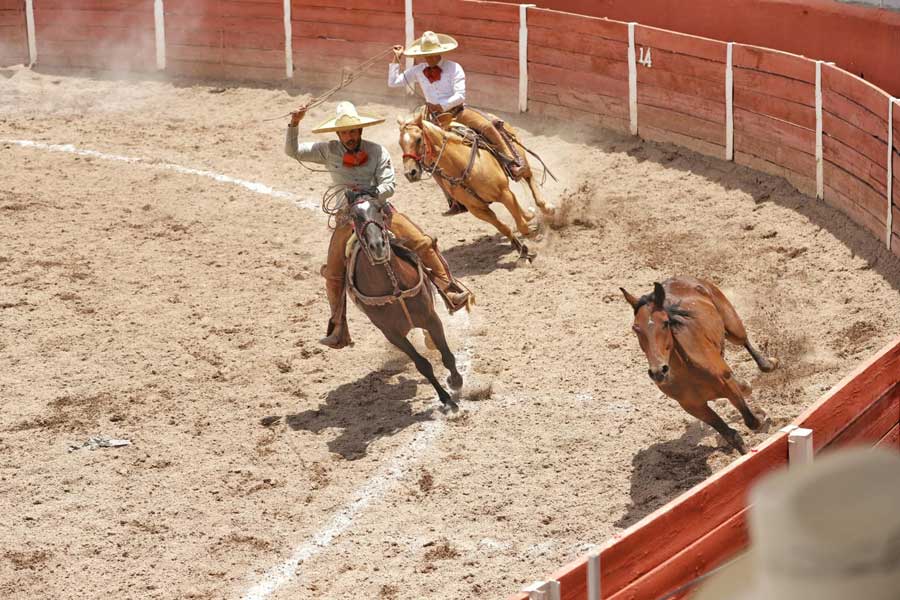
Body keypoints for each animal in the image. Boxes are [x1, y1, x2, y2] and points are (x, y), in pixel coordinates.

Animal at [342, 195, 460, 410]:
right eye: (355, 216)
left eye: (379, 209)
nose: (378, 245)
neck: (394, 287)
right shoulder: (392, 334)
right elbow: (422, 365)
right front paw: (445, 398)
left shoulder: (431, 318)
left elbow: (447, 355)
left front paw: (456, 382)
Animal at [396, 109, 552, 262]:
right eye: (400, 143)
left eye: (418, 139)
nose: (410, 173)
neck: (461, 166)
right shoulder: (478, 209)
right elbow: (504, 228)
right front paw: (523, 250)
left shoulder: (504, 193)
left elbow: (521, 226)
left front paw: (533, 239)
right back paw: (530, 215)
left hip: (521, 158)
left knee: (529, 179)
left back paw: (547, 208)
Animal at [624, 278, 776, 452]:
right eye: (636, 328)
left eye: (665, 323)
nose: (658, 372)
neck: (689, 371)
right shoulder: (694, 406)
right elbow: (732, 435)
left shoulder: (728, 386)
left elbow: (752, 421)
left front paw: (762, 417)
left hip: (733, 327)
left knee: (744, 341)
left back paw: (768, 364)